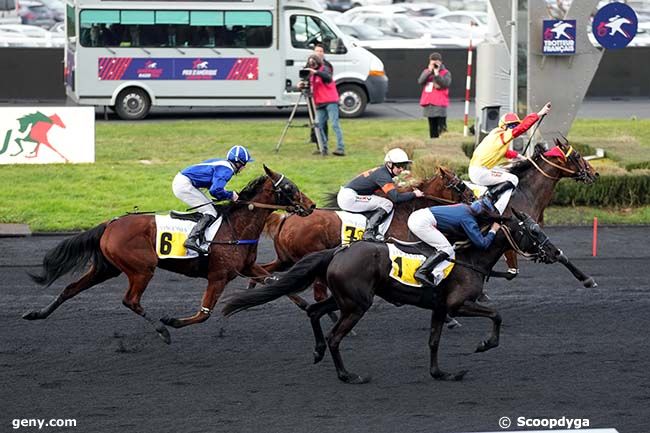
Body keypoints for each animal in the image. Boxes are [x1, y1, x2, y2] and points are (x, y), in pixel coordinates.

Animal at [26, 166, 316, 344]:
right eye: (289, 188)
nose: (312, 205)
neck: (236, 225)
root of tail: (110, 223)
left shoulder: (247, 267)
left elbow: (277, 283)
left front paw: (310, 307)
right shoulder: (219, 276)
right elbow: (205, 313)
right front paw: (173, 321)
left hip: (107, 267)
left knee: (71, 289)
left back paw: (37, 314)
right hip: (141, 269)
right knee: (130, 300)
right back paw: (162, 329)